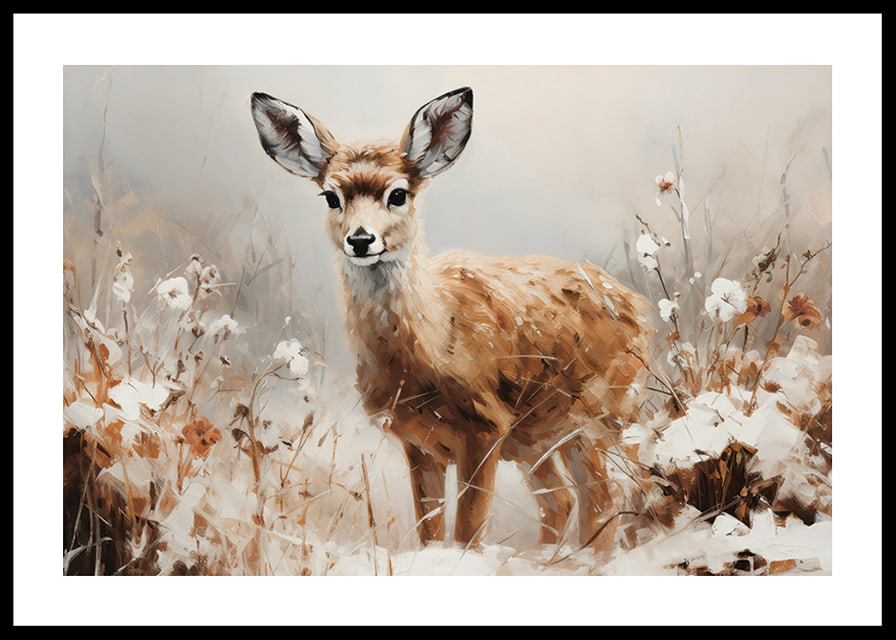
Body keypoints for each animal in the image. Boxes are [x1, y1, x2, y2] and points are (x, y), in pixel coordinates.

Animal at [250, 87, 651, 558]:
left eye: (399, 194)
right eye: (331, 196)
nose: (361, 239)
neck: (429, 345)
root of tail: (640, 307)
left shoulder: (486, 424)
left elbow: (468, 528)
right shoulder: (418, 441)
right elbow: (430, 527)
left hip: (600, 415)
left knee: (606, 497)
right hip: (538, 438)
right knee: (565, 499)